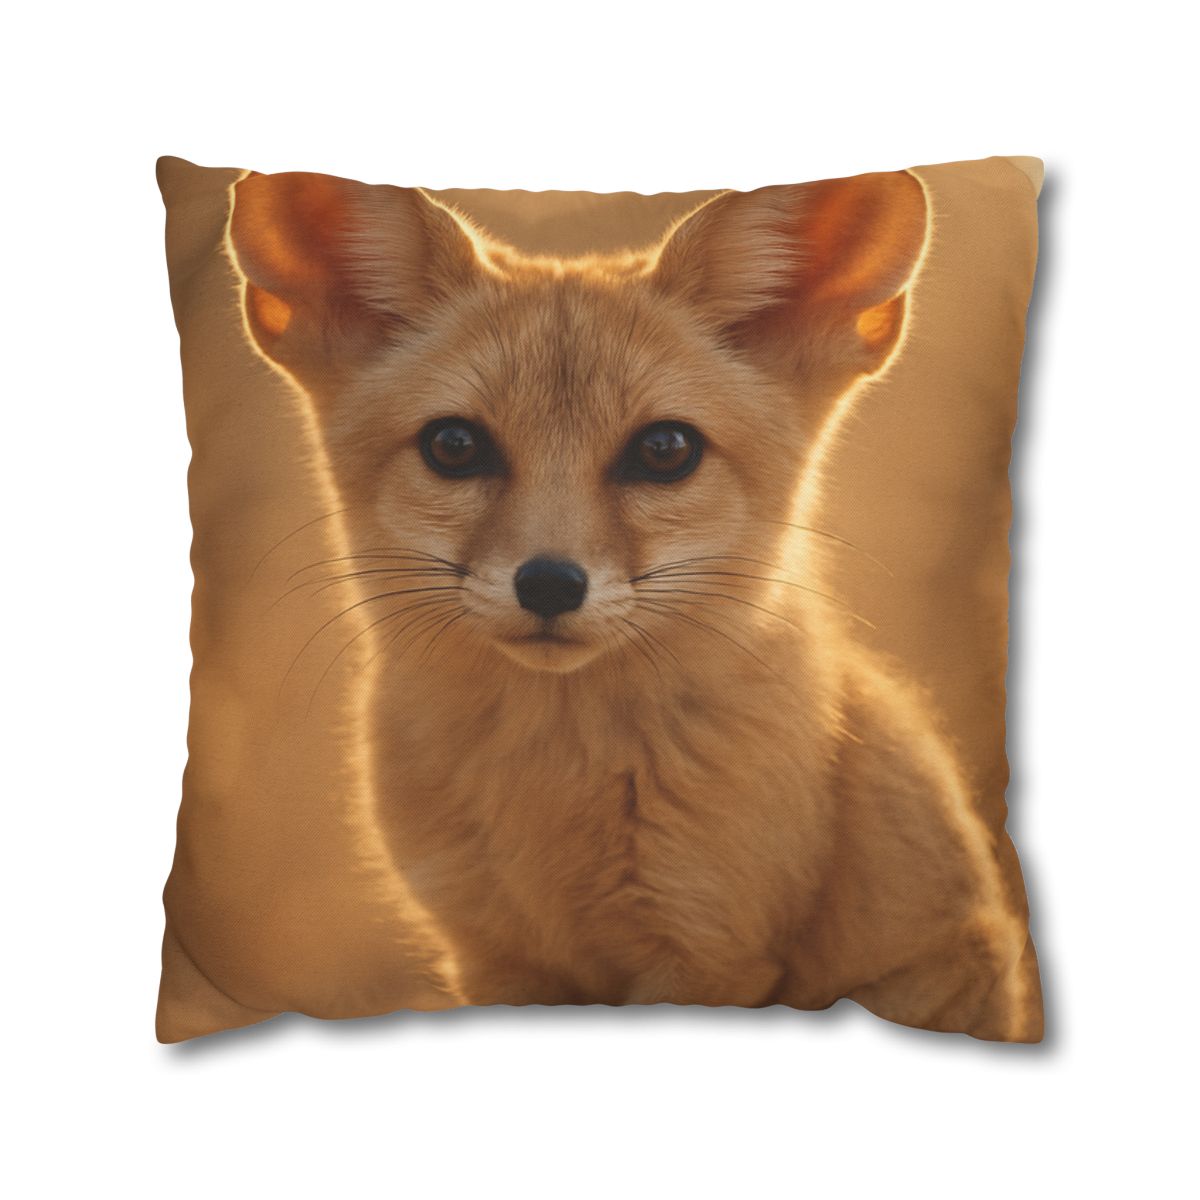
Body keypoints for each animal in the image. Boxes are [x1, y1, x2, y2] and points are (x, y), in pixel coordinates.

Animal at [228, 166, 1041, 1041]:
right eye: (454, 445)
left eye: (664, 450)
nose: (550, 584)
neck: (554, 788)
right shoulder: (491, 953)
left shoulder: (708, 948)